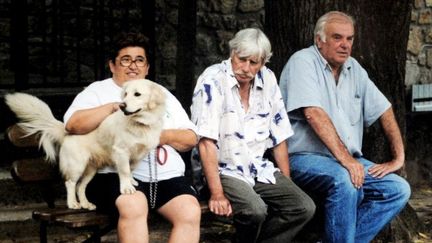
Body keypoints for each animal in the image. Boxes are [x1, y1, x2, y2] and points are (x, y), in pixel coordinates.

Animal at [5, 79, 166, 210]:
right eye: (125, 94)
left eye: (137, 94)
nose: (121, 105)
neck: (141, 124)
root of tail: (66, 132)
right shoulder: (121, 151)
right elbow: (125, 171)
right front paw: (127, 187)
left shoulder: (139, 155)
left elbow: (130, 170)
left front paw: (132, 182)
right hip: (77, 165)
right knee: (70, 183)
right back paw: (73, 204)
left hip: (90, 169)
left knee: (80, 187)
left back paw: (85, 204)